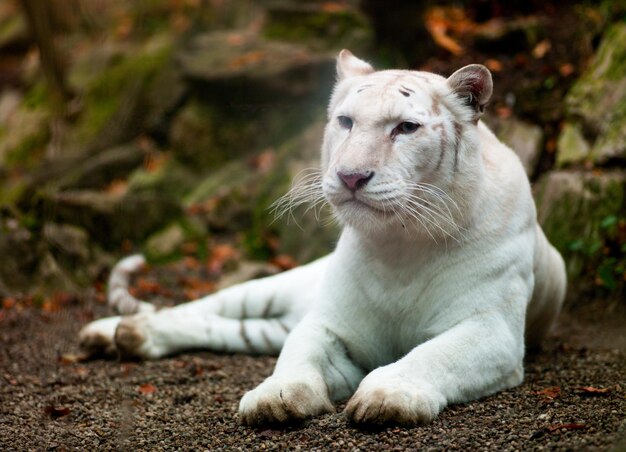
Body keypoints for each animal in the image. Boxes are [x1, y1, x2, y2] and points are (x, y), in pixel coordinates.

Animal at [79, 51, 564, 426]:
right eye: (346, 122)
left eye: (406, 128)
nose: (350, 176)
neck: (400, 245)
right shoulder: (330, 322)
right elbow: (298, 357)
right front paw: (275, 398)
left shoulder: (491, 329)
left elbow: (434, 355)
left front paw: (387, 397)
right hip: (272, 287)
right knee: (196, 308)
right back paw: (111, 331)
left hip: (269, 323)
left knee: (223, 328)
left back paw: (127, 336)